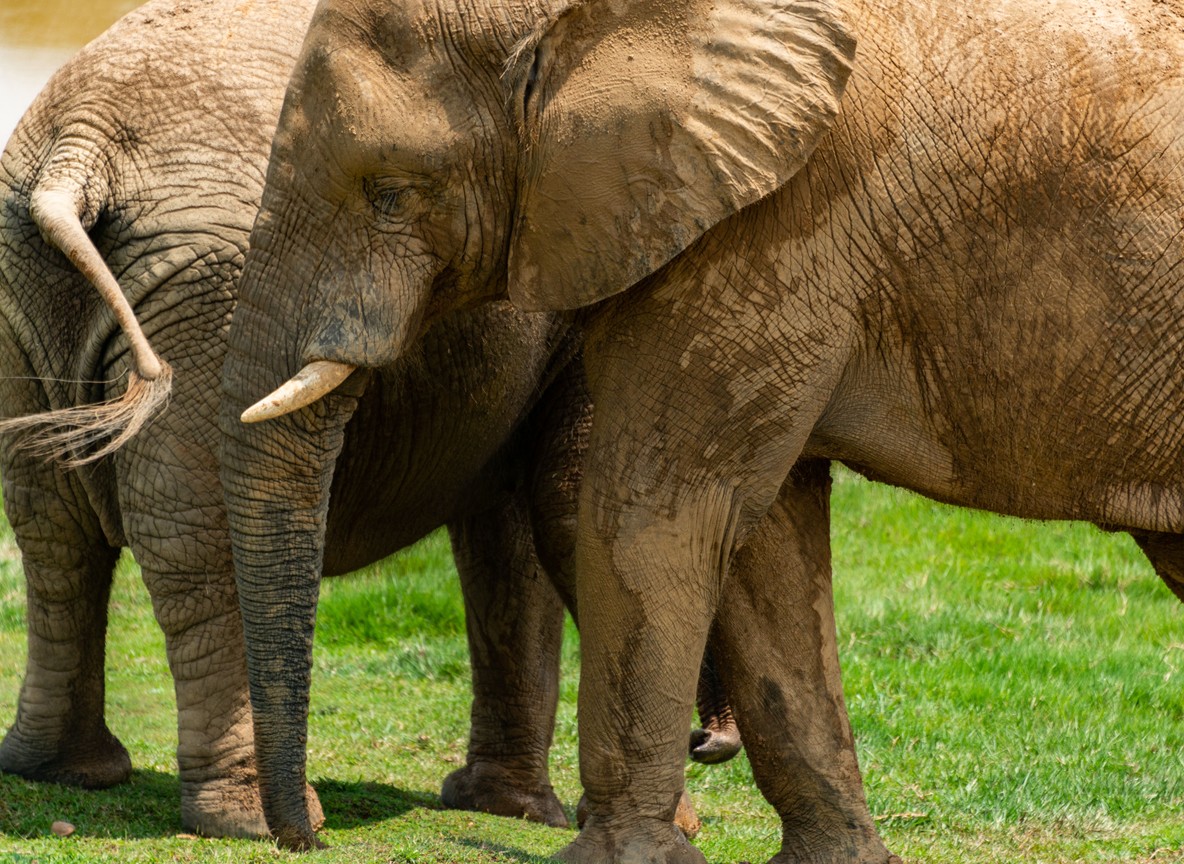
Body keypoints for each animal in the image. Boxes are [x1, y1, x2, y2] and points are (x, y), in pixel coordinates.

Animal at [0, 0, 735, 840]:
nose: (711, 741)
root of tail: (79, 144)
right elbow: (570, 500)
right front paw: (657, 827)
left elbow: (510, 531)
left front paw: (511, 808)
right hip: (201, 285)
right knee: (189, 535)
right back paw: (250, 819)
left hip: (34, 281)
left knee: (52, 527)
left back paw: (65, 772)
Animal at [222, 0, 1184, 860]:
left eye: (390, 194)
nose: (304, 835)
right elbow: (761, 546)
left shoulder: (770, 225)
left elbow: (660, 512)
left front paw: (620, 859)